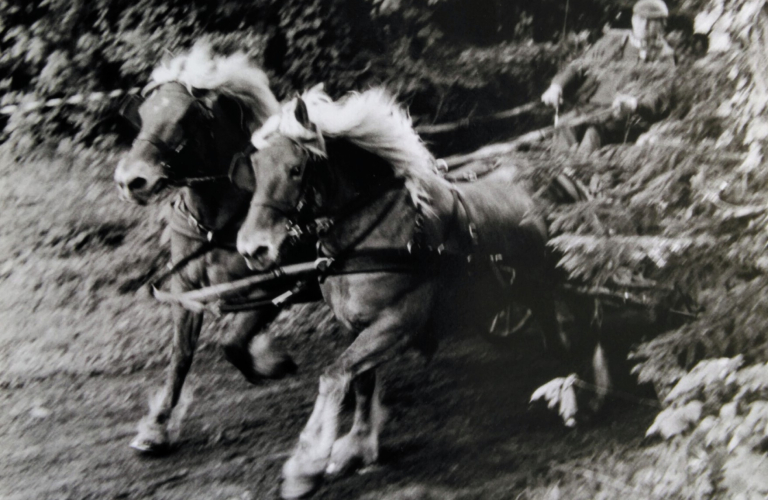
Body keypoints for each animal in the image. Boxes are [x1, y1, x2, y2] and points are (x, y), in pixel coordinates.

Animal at [112, 45, 308, 456]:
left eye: (187, 117)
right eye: (144, 114)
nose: (131, 180)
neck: (217, 224)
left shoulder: (272, 287)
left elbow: (231, 342)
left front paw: (271, 363)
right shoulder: (186, 293)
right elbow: (181, 356)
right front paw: (157, 426)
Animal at [232, 86, 612, 496]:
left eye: (296, 169)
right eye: (256, 170)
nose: (252, 249)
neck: (375, 237)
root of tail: (561, 173)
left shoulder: (398, 322)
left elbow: (334, 376)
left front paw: (305, 467)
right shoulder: (356, 326)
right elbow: (360, 382)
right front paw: (357, 447)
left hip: (568, 274)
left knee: (592, 326)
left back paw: (594, 394)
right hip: (532, 287)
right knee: (555, 336)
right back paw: (567, 392)